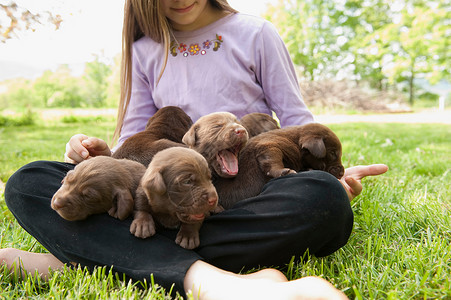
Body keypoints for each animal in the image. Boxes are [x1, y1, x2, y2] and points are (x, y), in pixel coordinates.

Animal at [214, 123, 344, 210]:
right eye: (333, 153)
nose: (342, 173)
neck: (296, 142)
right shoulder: (269, 145)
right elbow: (273, 161)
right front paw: (284, 171)